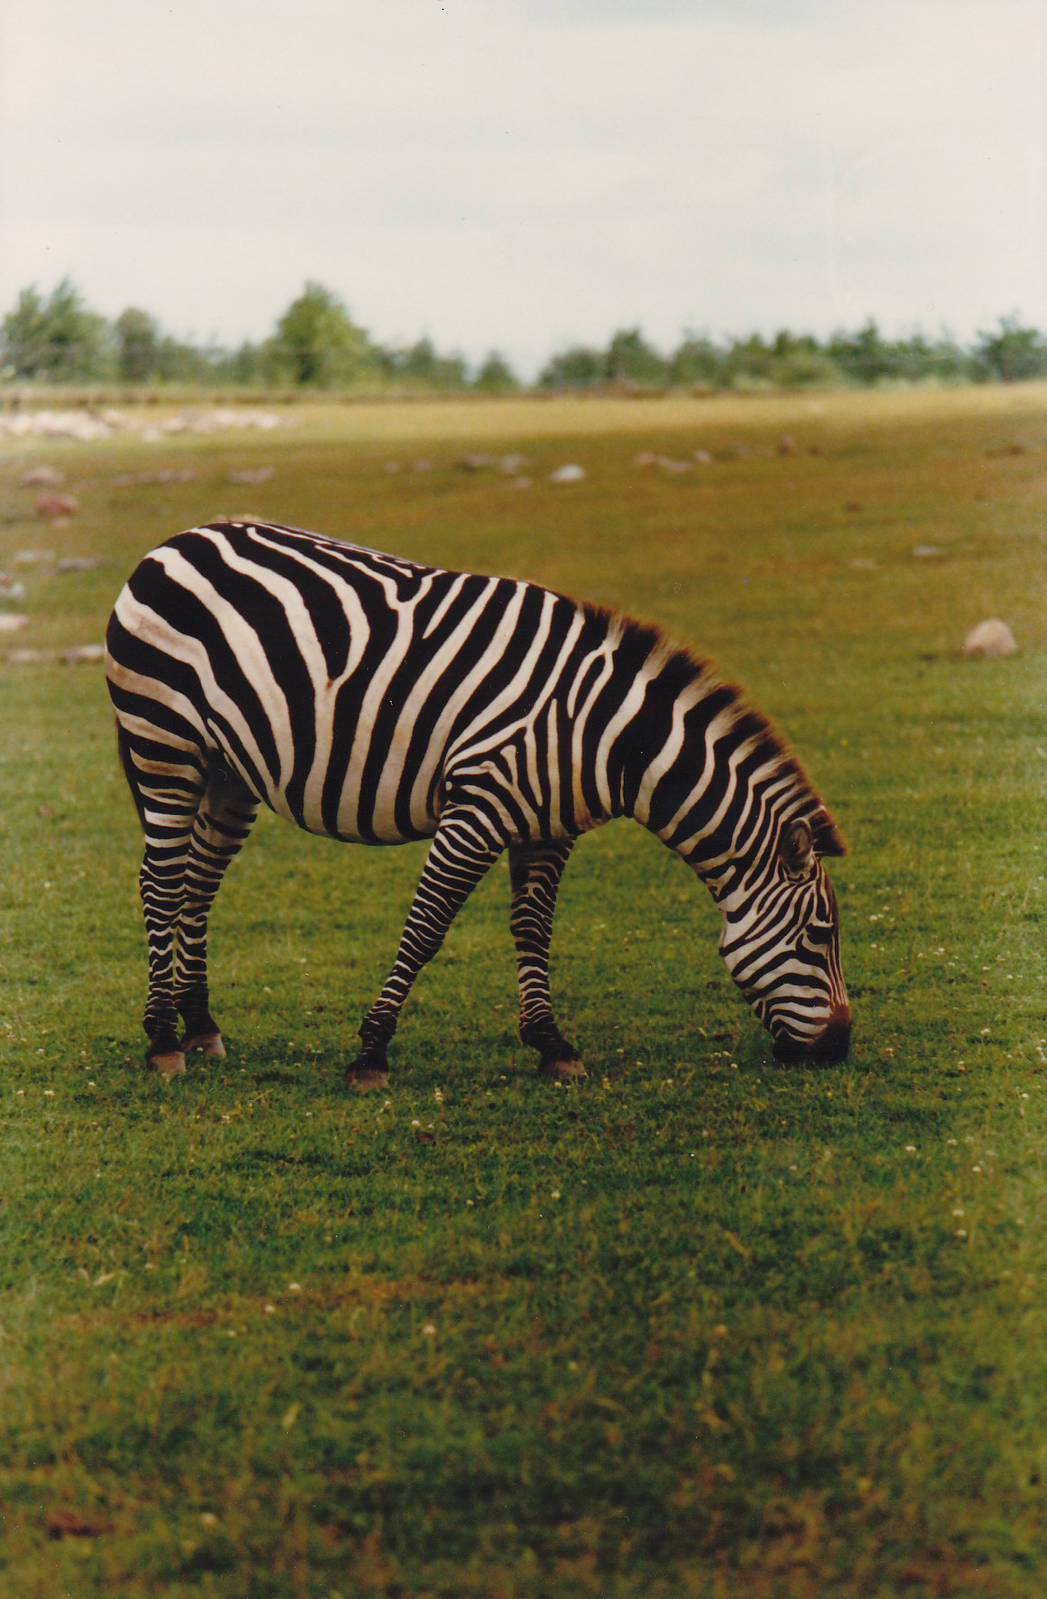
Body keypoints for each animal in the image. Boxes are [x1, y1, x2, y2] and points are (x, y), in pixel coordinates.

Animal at [104, 519, 850, 1088]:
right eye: (819, 935)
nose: (840, 1049)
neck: (605, 735)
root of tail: (177, 540)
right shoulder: (478, 806)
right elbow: (427, 926)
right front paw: (372, 1051)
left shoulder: (548, 826)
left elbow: (533, 927)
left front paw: (550, 1043)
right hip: (163, 743)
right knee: (160, 882)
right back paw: (162, 1038)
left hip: (227, 771)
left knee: (197, 884)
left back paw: (201, 1025)